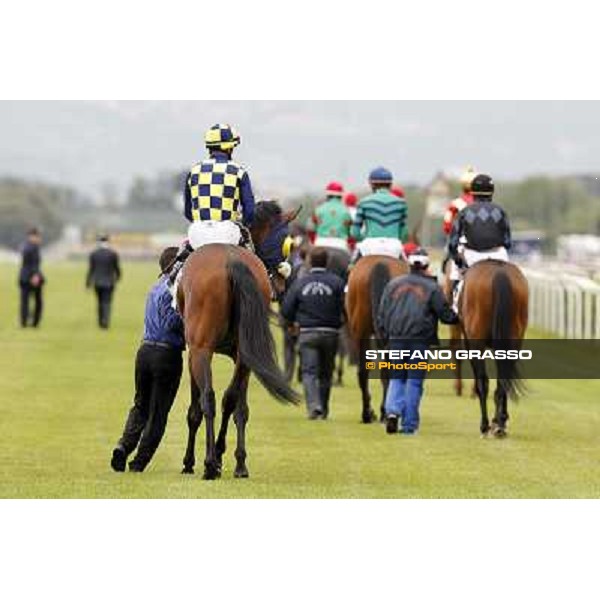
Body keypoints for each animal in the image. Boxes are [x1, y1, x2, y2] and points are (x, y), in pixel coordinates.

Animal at [178, 204, 300, 480]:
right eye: (286, 244)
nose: (281, 284)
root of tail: (230, 259)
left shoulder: (193, 351)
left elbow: (195, 409)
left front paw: (191, 461)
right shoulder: (242, 355)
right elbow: (238, 404)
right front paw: (233, 459)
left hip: (202, 349)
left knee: (209, 399)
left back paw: (209, 464)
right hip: (245, 353)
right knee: (231, 400)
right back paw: (237, 464)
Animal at [460, 260, 528, 438]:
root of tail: (499, 273)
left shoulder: (470, 343)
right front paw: (501, 420)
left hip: (477, 341)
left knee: (483, 382)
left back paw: (485, 425)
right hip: (514, 340)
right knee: (504, 379)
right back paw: (500, 424)